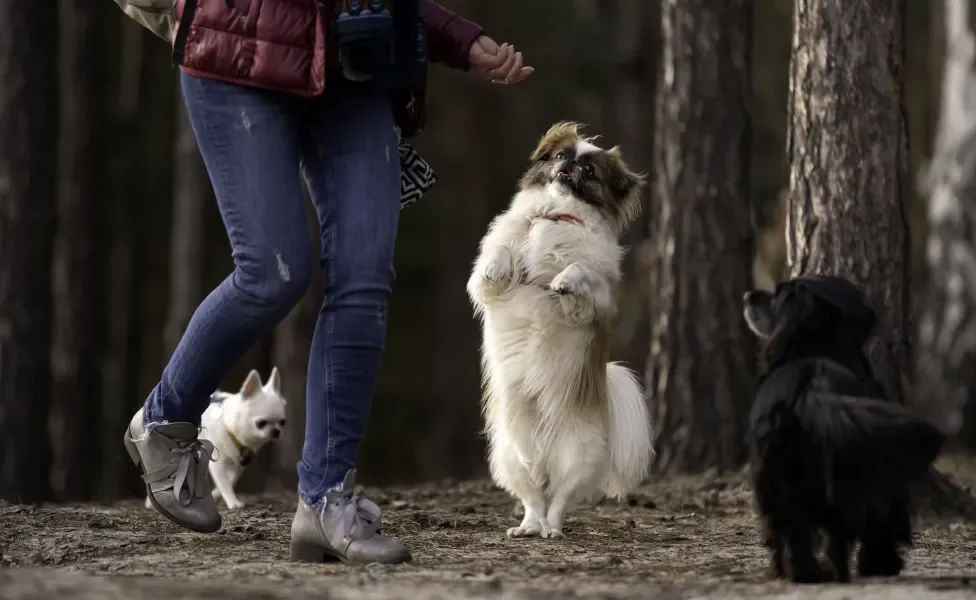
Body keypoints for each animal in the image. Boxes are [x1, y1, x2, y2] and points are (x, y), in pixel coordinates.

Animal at [139, 368, 288, 508]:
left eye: (283, 422)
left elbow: (231, 480)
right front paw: (233, 501)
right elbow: (225, 482)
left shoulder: (237, 464)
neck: (230, 429)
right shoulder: (218, 463)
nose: (276, 431)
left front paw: (217, 494)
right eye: (261, 423)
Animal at [468, 120, 656, 540]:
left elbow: (579, 270)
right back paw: (526, 528)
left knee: (557, 501)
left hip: (576, 454)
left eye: (589, 171)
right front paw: (499, 265)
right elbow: (500, 254)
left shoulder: (597, 301)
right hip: (510, 454)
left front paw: (562, 280)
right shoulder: (486, 288)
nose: (568, 167)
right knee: (532, 498)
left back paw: (551, 530)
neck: (556, 214)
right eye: (559, 157)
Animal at [744, 278, 940, 584]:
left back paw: (806, 572)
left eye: (775, 296)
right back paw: (862, 567)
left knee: (792, 533)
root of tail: (813, 384)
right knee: (848, 530)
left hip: (775, 480)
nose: (748, 296)